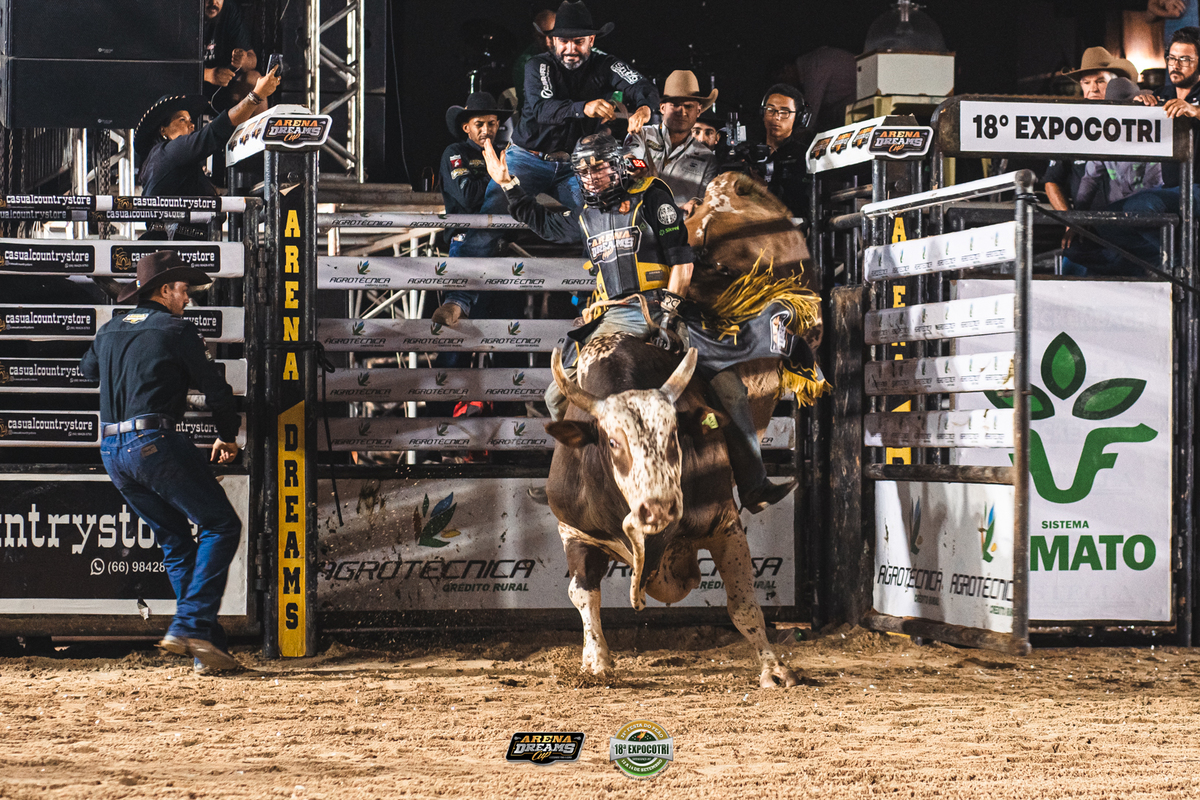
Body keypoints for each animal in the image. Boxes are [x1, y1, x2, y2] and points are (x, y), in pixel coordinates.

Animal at [545, 340, 801, 688]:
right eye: (612, 441)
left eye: (674, 436)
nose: (659, 508)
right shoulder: (575, 531)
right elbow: (584, 594)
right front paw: (596, 662)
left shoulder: (724, 525)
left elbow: (743, 606)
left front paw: (774, 669)